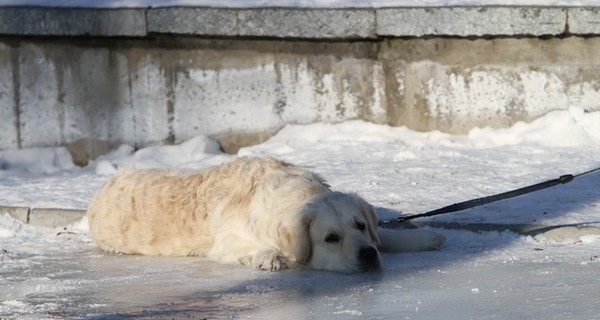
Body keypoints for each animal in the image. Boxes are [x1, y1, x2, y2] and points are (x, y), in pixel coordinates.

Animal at [86, 157, 442, 272]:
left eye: (360, 226)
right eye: (331, 238)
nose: (367, 255)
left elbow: (387, 234)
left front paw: (425, 235)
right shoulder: (225, 241)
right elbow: (249, 247)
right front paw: (268, 256)